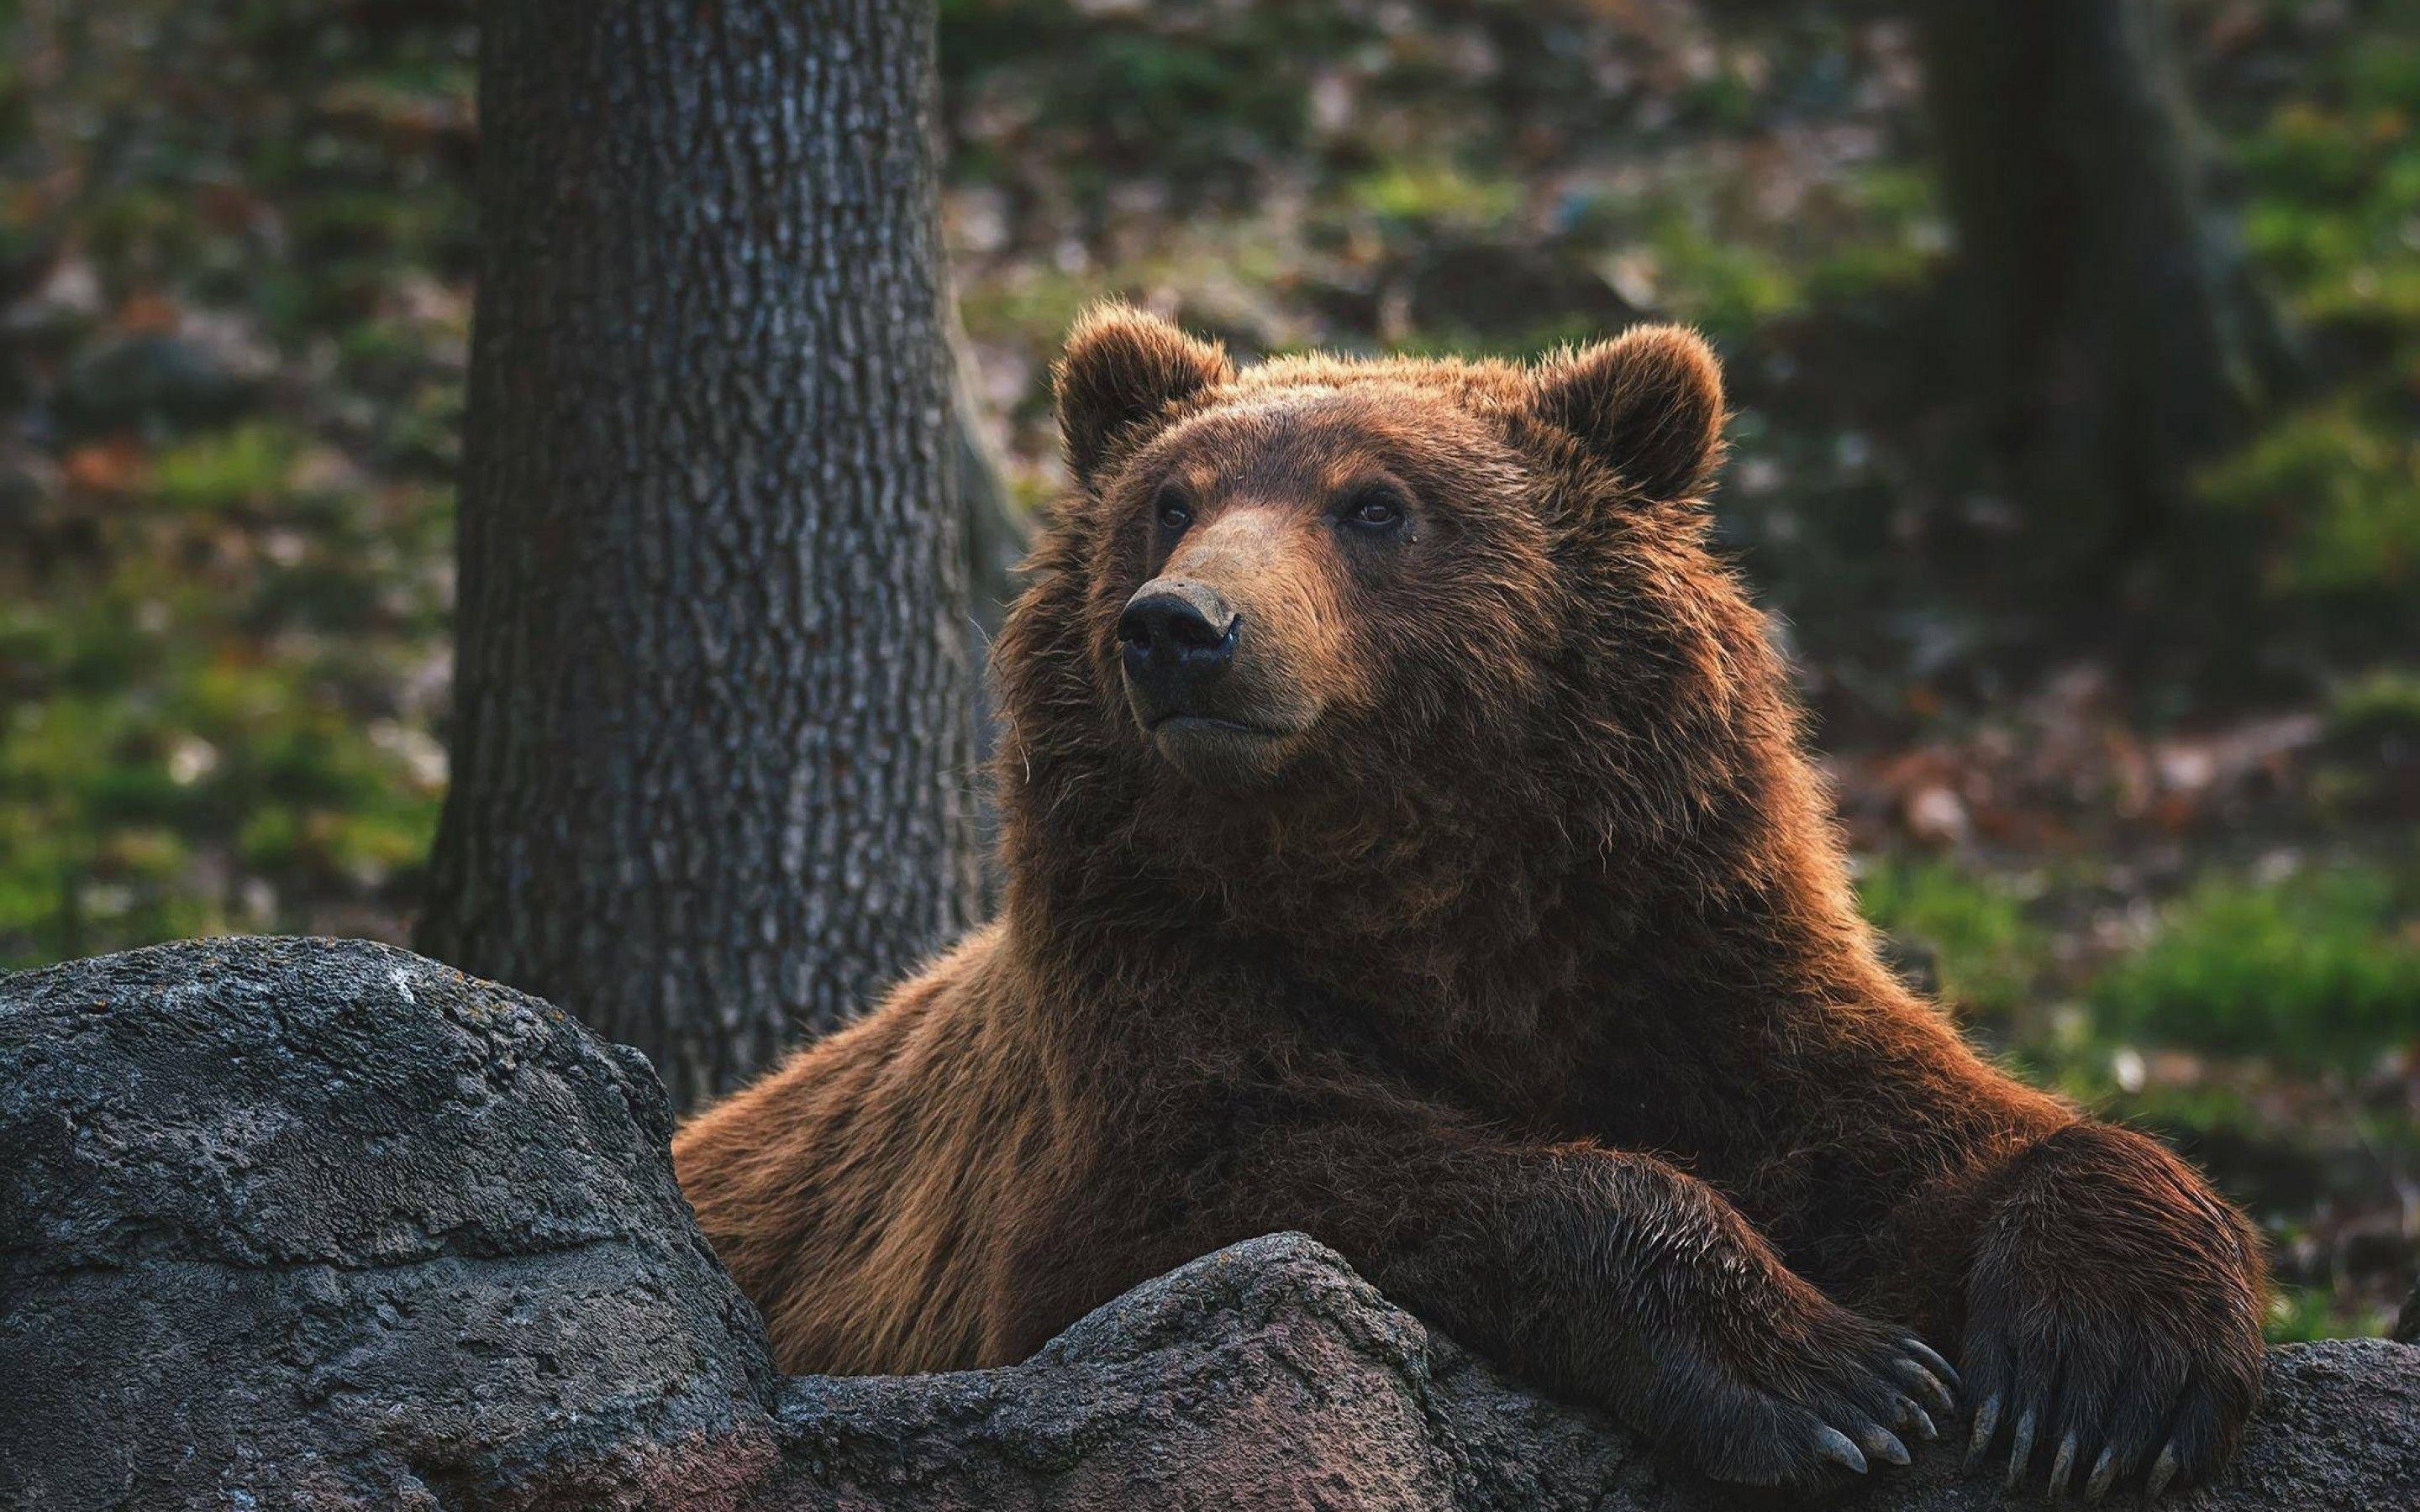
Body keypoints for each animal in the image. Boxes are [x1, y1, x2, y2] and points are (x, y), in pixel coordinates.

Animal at [673, 305, 2267, 1498]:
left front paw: (2104, 1378)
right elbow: (1265, 1178)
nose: (1180, 628)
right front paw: (1835, 1377)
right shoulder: (1147, 995)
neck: (1419, 884)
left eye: (1376, 505)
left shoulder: (1683, 945)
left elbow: (1926, 1129)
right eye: (1168, 504)